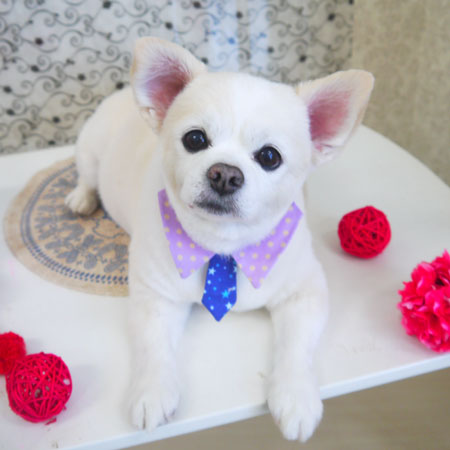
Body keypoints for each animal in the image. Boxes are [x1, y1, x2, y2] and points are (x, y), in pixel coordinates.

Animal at [65, 37, 373, 441]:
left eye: (270, 157)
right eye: (195, 139)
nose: (225, 173)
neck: (225, 249)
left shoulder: (306, 293)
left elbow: (296, 347)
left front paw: (296, 396)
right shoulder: (155, 297)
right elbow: (153, 347)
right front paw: (152, 390)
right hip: (90, 152)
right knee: (87, 177)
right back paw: (81, 199)